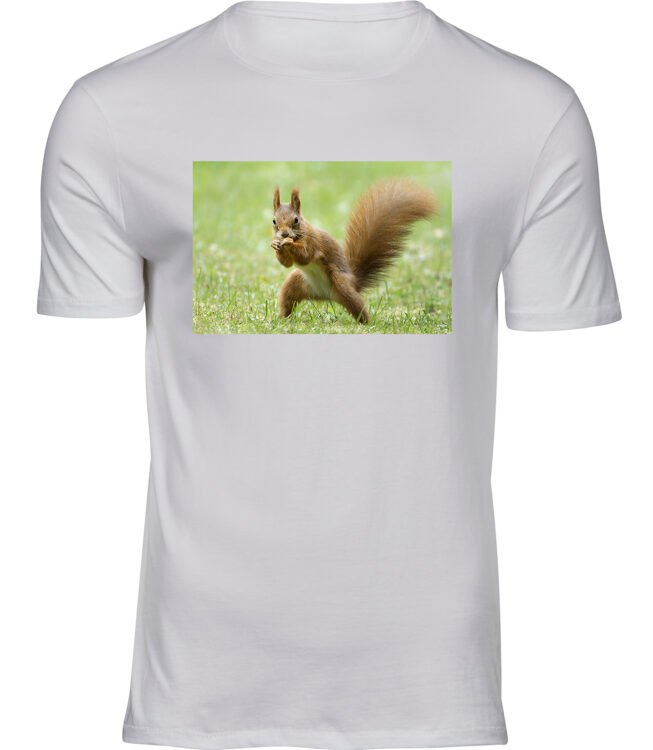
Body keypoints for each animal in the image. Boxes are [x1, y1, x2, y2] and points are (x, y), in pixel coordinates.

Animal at [271, 179, 437, 323]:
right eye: (274, 221)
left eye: (296, 220)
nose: (284, 234)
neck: (299, 233)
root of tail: (326, 295)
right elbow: (287, 264)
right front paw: (276, 245)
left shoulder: (313, 243)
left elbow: (305, 256)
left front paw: (288, 243)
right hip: (295, 283)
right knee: (287, 300)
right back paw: (282, 318)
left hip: (341, 283)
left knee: (357, 305)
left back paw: (366, 323)